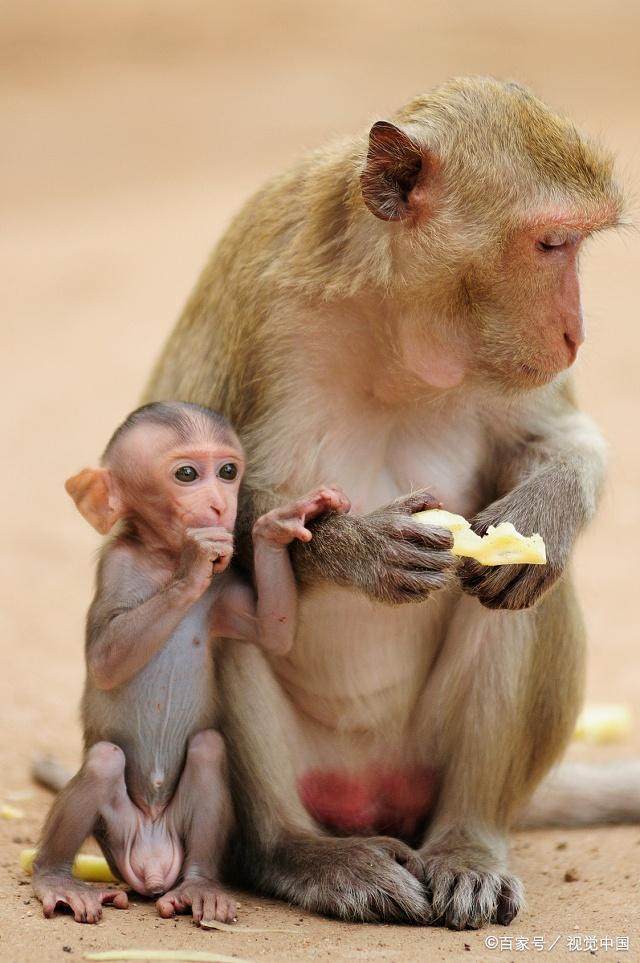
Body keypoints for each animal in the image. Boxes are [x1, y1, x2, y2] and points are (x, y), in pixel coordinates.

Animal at [33, 402, 350, 928]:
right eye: (186, 474)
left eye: (227, 472)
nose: (221, 505)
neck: (160, 557)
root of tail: (151, 862)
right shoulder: (116, 568)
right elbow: (103, 662)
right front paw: (194, 561)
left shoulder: (223, 596)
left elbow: (274, 633)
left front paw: (276, 526)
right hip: (116, 832)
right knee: (104, 760)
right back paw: (56, 878)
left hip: (179, 833)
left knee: (208, 749)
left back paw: (200, 887)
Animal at [144, 79, 624, 932]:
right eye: (551, 245)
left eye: (573, 244)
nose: (575, 335)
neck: (396, 330)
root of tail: (367, 796)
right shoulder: (258, 282)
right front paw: (353, 548)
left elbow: (561, 440)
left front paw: (547, 508)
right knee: (209, 596)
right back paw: (301, 853)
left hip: (423, 764)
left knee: (527, 594)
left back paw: (469, 843)